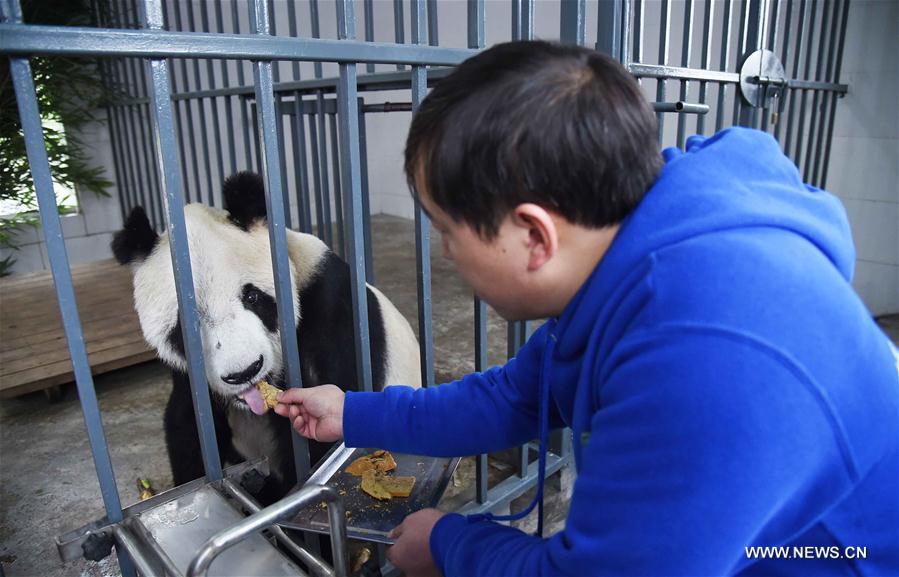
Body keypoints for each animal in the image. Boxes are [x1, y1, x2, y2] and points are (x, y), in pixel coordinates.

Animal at [112, 171, 422, 504]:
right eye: (186, 325)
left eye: (252, 297)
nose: (244, 372)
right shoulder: (188, 374)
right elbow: (187, 422)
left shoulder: (332, 309)